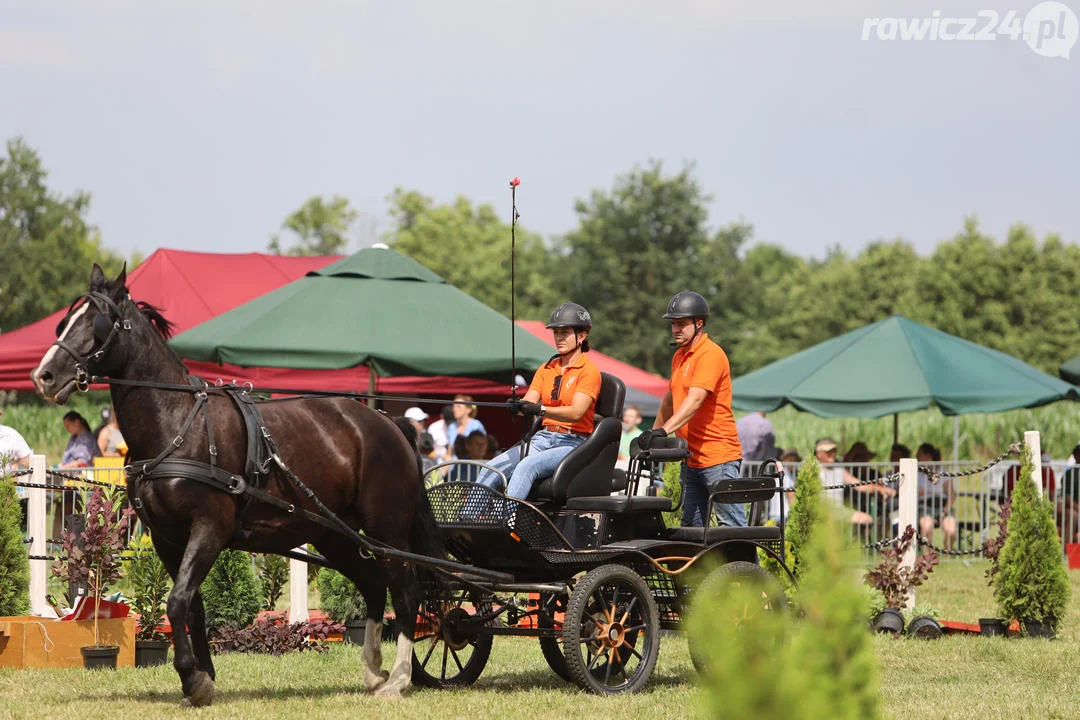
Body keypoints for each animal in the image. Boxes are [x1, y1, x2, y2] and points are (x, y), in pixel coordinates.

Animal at [33, 264, 438, 703]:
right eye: (64, 321)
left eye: (98, 323)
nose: (44, 376)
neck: (178, 425)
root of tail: (388, 422)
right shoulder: (167, 537)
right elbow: (191, 606)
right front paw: (202, 678)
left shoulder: (209, 527)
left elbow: (176, 602)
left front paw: (193, 679)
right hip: (332, 533)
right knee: (374, 585)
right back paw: (372, 671)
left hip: (387, 530)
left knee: (406, 592)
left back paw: (398, 678)